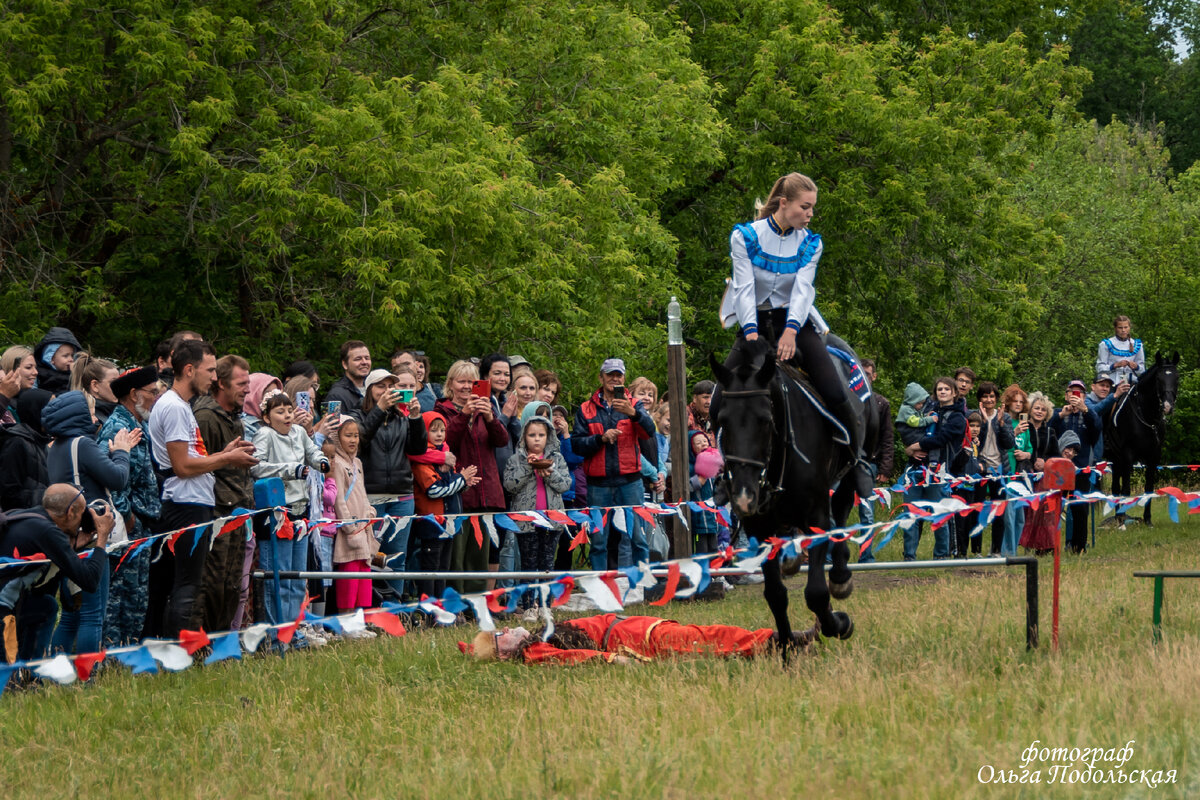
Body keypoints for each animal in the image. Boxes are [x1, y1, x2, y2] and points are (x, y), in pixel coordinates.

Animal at [705, 335, 878, 662]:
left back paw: (840, 575)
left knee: (842, 507)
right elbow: (775, 595)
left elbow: (816, 594)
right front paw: (786, 652)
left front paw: (838, 624)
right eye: (722, 419)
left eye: (765, 419)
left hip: (849, 471)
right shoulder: (758, 528)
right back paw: (792, 558)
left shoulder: (816, 517)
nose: (744, 495)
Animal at [1104, 352, 1180, 527]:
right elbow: (1126, 489)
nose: (1167, 406)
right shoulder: (1127, 455)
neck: (1146, 415)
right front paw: (1123, 521)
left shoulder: (1154, 456)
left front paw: (1148, 519)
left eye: (1177, 377)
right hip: (1115, 458)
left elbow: (1149, 488)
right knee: (1116, 488)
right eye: (1158, 378)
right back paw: (1119, 518)